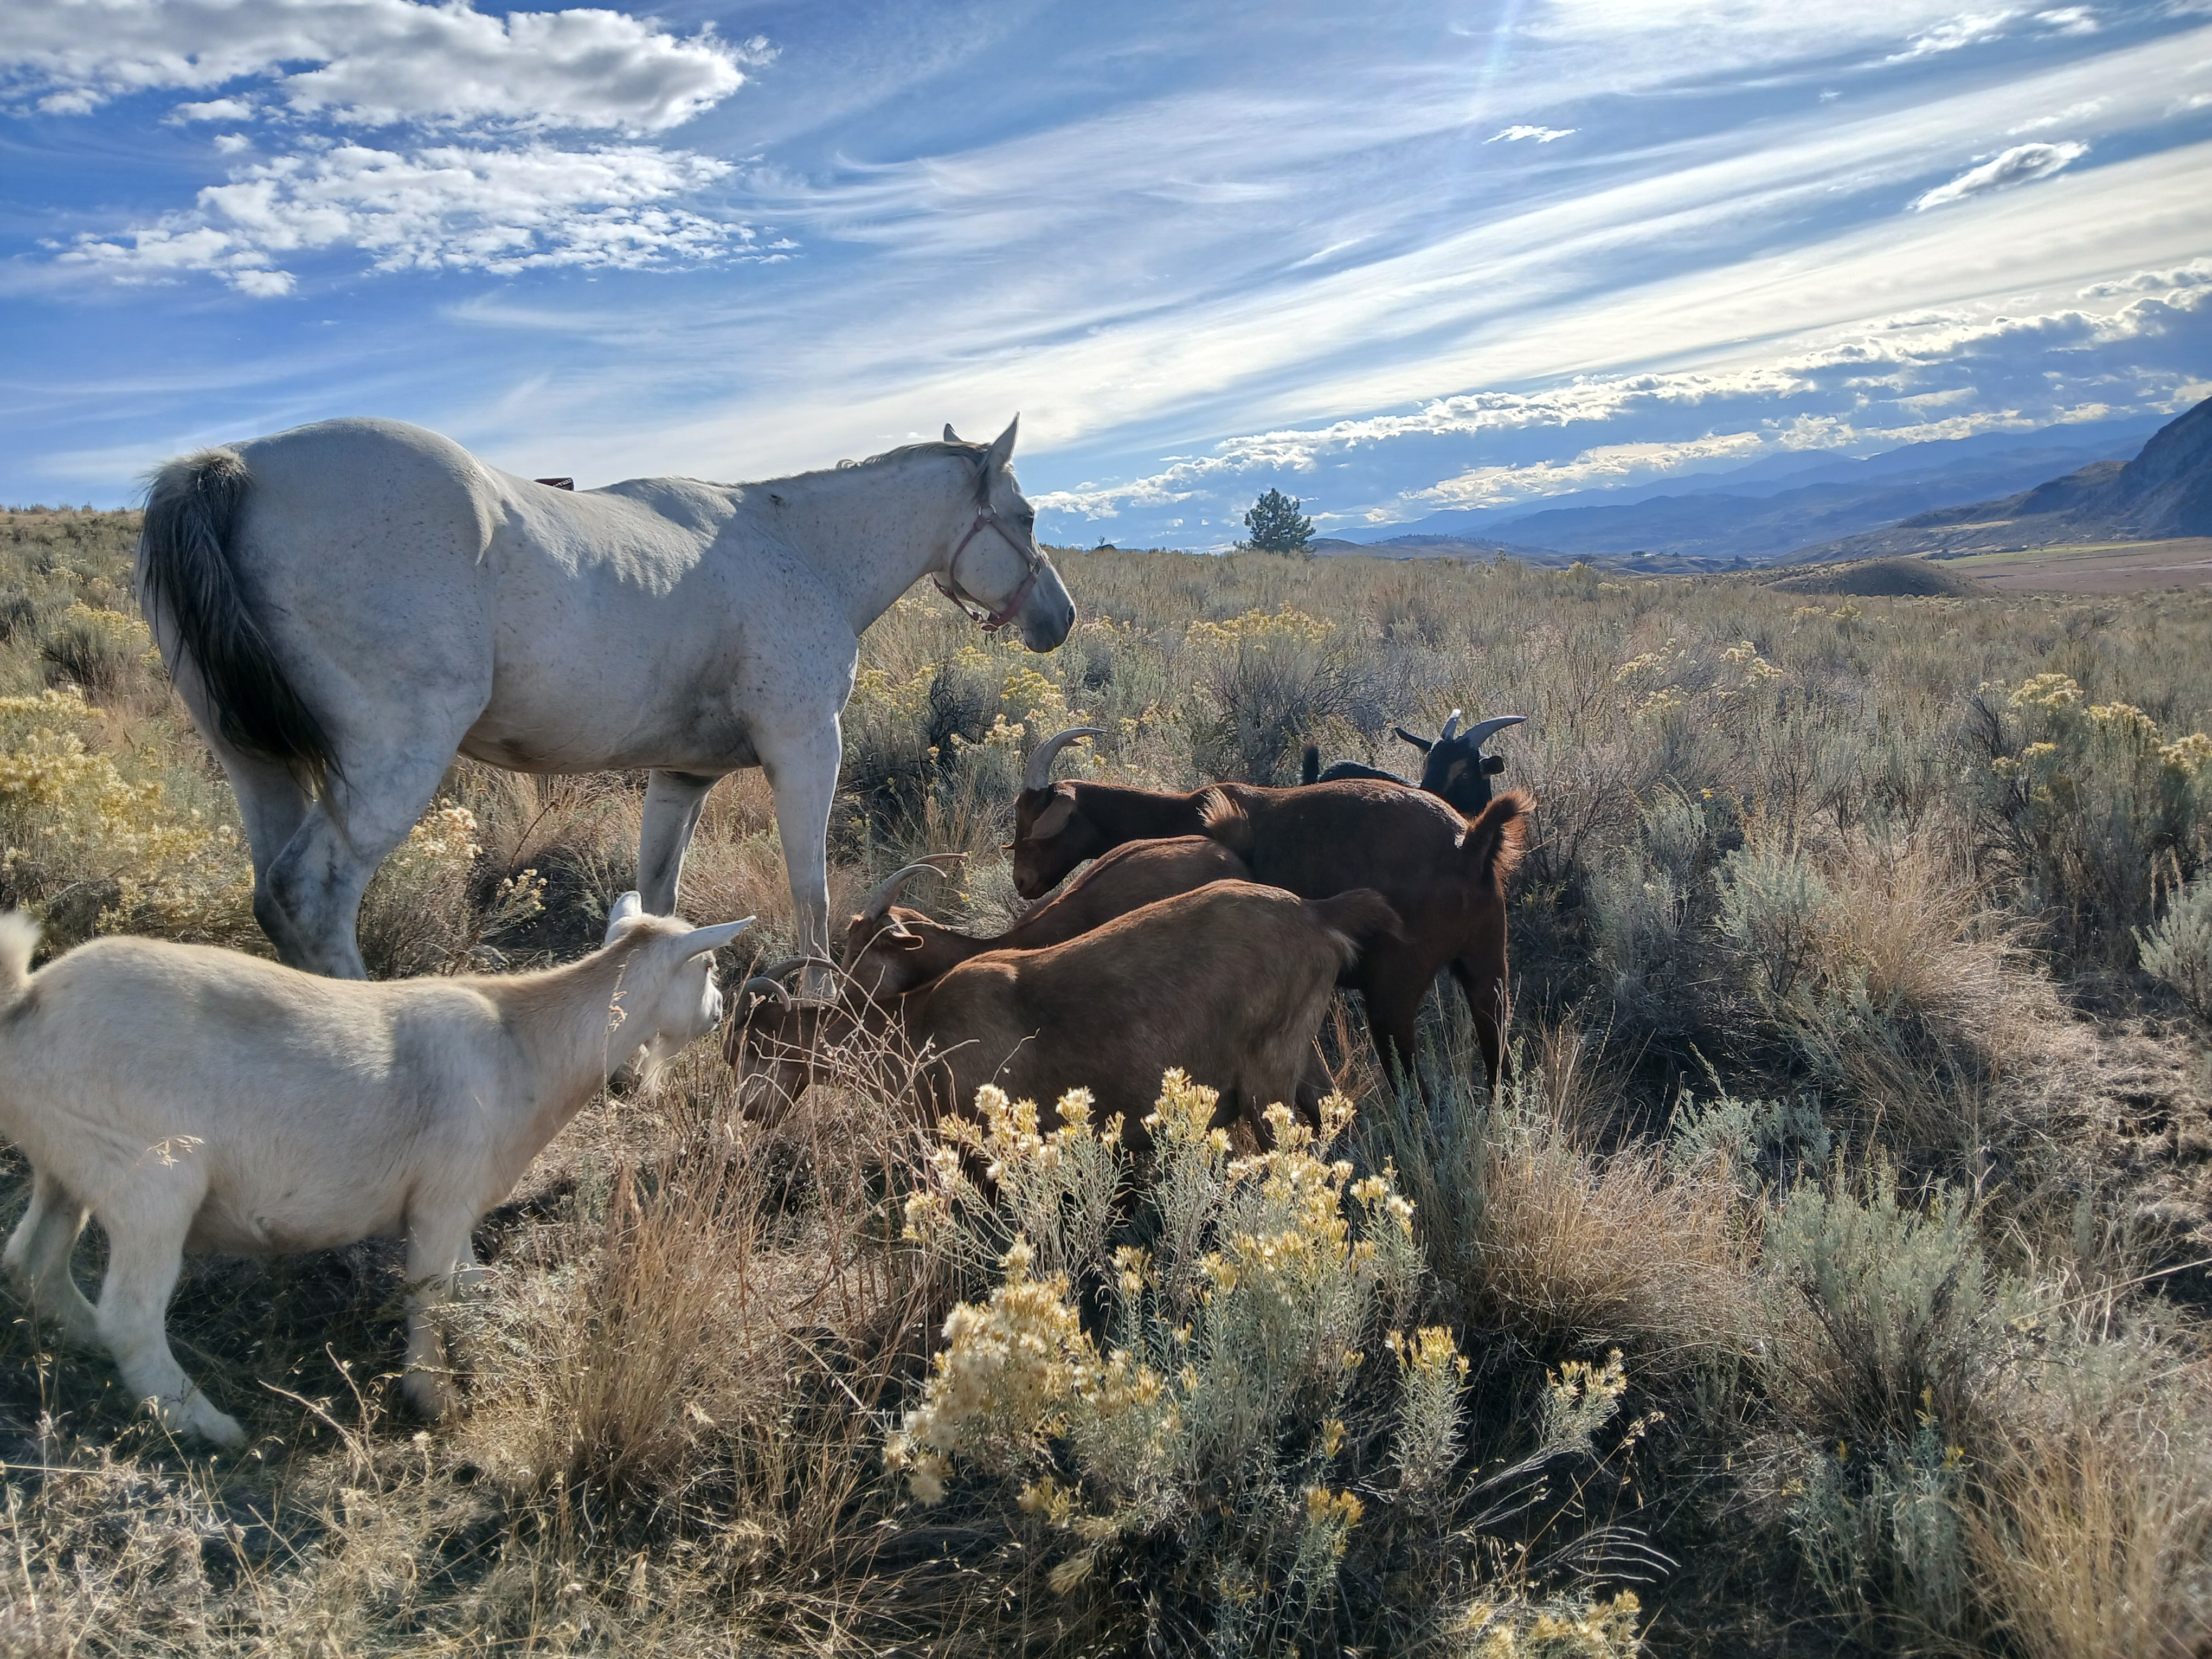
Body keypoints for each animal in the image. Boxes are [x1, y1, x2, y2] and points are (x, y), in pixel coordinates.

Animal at [0, 895, 749, 1447]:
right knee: (129, 1314)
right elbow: (429, 1295)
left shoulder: (452, 1202)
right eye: (711, 965)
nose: (720, 1014)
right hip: (153, 1180)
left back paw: (88, 1344)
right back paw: (204, 1424)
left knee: (33, 1261)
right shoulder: (441, 1199)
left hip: (70, 1163)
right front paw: (434, 1396)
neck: (524, 1043)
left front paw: (487, 1356)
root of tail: (28, 1000)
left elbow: (470, 1286)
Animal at [137, 415, 1074, 982]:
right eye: (1027, 517)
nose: (1060, 619)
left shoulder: (682, 776)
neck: (801, 547)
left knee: (276, 899)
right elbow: (811, 890)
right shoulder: (808, 745)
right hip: (390, 760)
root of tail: (231, 470)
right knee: (313, 898)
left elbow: (658, 892)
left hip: (257, 763)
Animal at [733, 880, 1399, 1150]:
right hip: (1304, 1058)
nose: (747, 1110)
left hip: (1268, 1082)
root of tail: (1318, 916)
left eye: (749, 1049)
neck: (916, 1030)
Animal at [1010, 726, 1530, 1091]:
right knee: (1498, 1063)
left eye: (1032, 824)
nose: (1021, 882)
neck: (1178, 814)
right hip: (1488, 969)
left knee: (1412, 1084)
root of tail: (1470, 845)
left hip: (1393, 993)